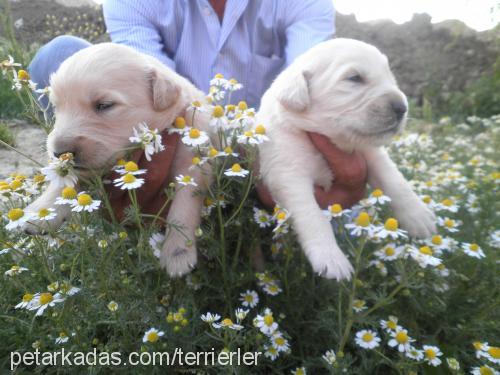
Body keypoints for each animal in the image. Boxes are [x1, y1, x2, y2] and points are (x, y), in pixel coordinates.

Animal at [23, 43, 211, 280]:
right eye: (56, 107)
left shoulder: (191, 162)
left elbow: (184, 204)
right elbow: (65, 184)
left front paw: (177, 253)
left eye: (104, 105)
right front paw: (40, 212)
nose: (59, 153)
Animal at [258, 38, 438, 280]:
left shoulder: (370, 152)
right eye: (354, 78)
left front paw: (419, 217)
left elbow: (394, 180)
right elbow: (312, 214)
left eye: (389, 76)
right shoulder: (288, 172)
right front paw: (331, 259)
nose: (402, 108)